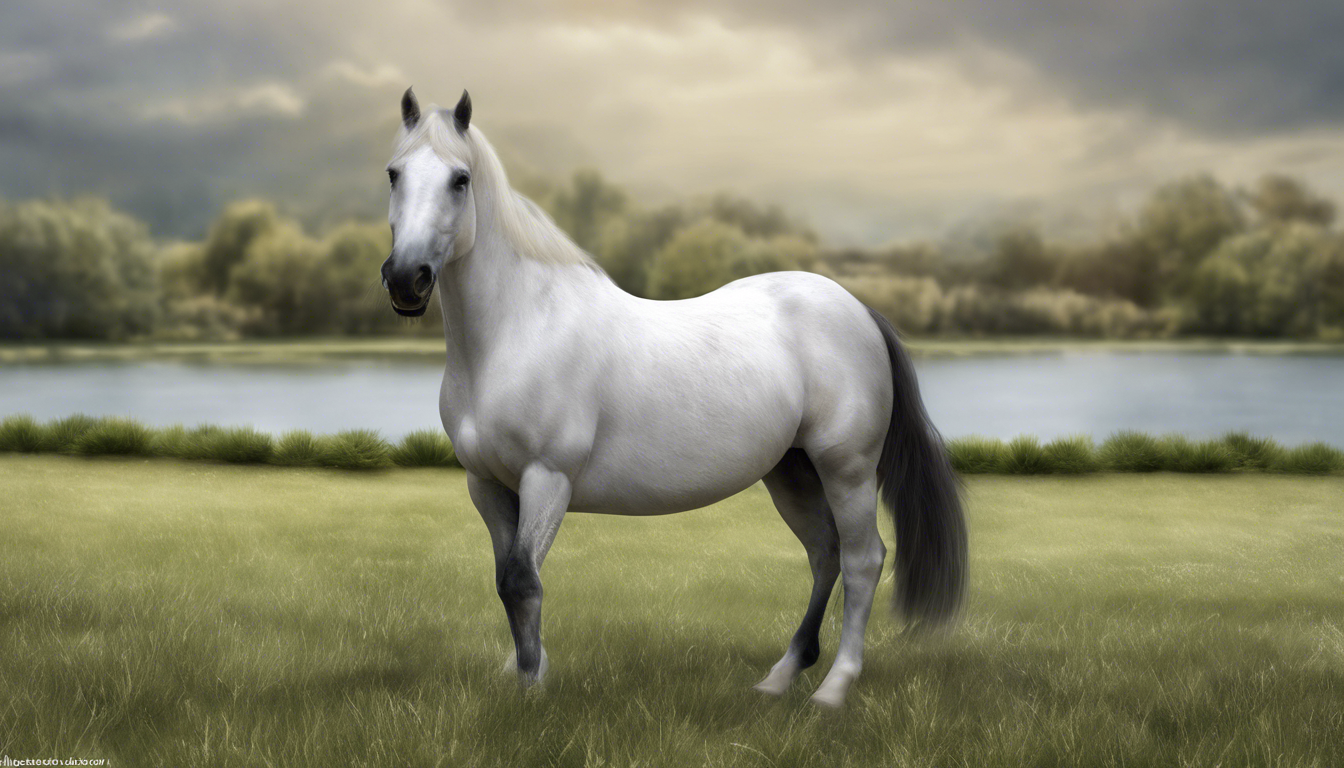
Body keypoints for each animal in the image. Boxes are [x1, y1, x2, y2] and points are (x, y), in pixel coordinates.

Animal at [380, 88, 967, 707]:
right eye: (394, 173)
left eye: (460, 179)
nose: (406, 280)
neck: (517, 329)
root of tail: (859, 310)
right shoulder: (487, 484)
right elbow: (505, 579)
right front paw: (522, 673)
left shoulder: (547, 478)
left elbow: (522, 580)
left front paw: (532, 689)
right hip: (792, 471)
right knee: (824, 554)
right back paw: (780, 677)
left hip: (846, 468)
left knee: (862, 561)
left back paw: (833, 690)